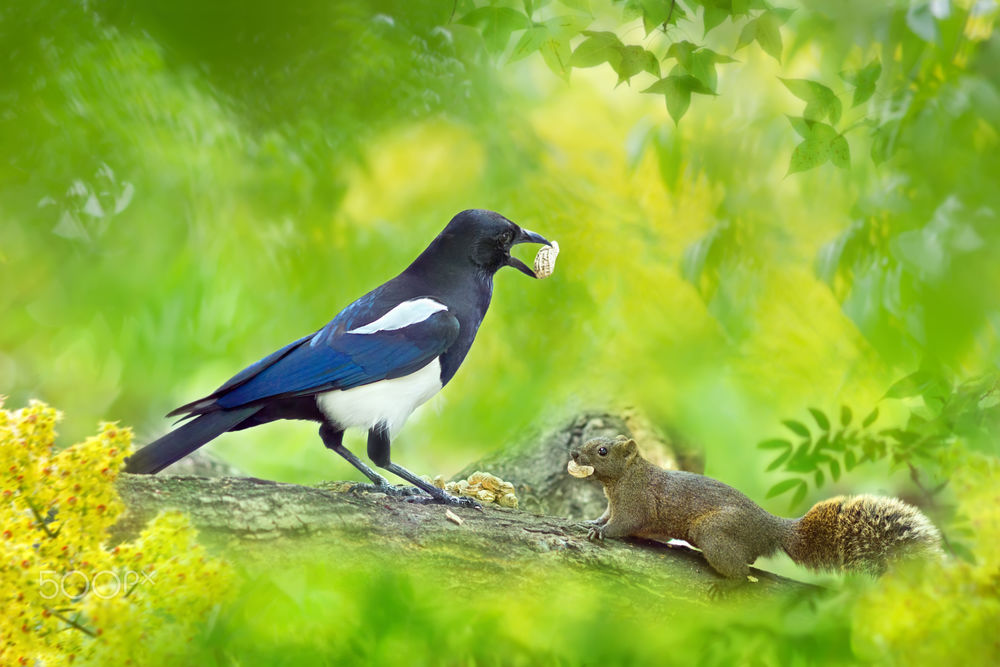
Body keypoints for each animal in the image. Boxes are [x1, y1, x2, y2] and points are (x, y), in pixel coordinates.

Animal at [570, 435, 942, 581]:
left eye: (602, 450)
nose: (573, 453)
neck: (623, 479)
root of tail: (770, 527)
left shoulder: (636, 503)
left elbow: (623, 524)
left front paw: (601, 532)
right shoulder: (614, 503)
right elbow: (605, 514)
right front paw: (591, 521)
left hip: (714, 531)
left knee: (741, 569)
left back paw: (728, 583)